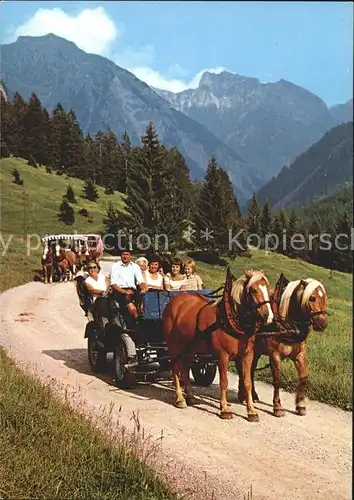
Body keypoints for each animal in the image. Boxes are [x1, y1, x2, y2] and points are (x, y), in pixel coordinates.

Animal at [162, 270, 274, 422]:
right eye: (253, 290)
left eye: (268, 289)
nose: (269, 317)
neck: (230, 319)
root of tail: (174, 302)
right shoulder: (223, 356)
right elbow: (224, 381)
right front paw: (225, 408)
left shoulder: (247, 355)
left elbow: (247, 382)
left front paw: (251, 411)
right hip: (174, 345)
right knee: (175, 369)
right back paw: (180, 399)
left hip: (191, 347)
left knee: (185, 368)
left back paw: (190, 396)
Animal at [236, 278, 328, 418]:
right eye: (312, 298)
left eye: (324, 298)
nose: (323, 323)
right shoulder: (275, 356)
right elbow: (277, 380)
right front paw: (277, 407)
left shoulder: (299, 355)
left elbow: (304, 378)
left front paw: (300, 405)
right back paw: (243, 395)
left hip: (256, 352)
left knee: (250, 370)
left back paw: (253, 395)